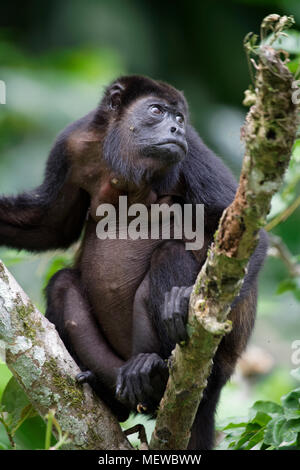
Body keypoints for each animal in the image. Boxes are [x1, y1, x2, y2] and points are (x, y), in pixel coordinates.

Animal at [0, 75, 268, 450]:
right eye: (156, 111)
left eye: (180, 118)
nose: (175, 128)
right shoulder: (71, 144)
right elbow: (50, 225)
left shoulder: (192, 150)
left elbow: (248, 234)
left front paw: (184, 301)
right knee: (63, 284)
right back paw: (118, 395)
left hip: (217, 365)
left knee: (169, 254)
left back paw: (155, 372)